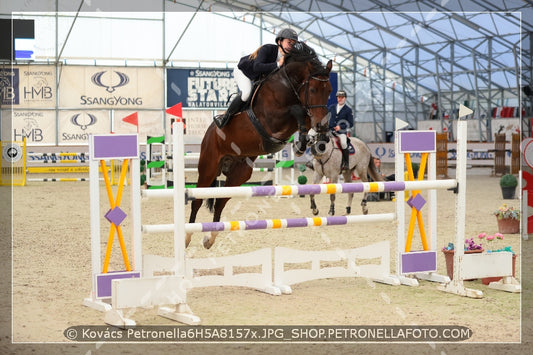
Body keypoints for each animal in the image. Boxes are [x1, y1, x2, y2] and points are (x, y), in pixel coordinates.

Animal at [185, 43, 330, 249]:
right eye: (313, 90)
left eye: (330, 91)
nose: (322, 126)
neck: (288, 85)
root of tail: (209, 133)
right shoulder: (273, 120)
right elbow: (298, 111)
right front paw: (303, 142)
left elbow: (305, 116)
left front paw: (312, 139)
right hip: (209, 167)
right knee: (197, 200)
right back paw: (187, 237)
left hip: (239, 174)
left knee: (220, 202)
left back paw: (209, 239)